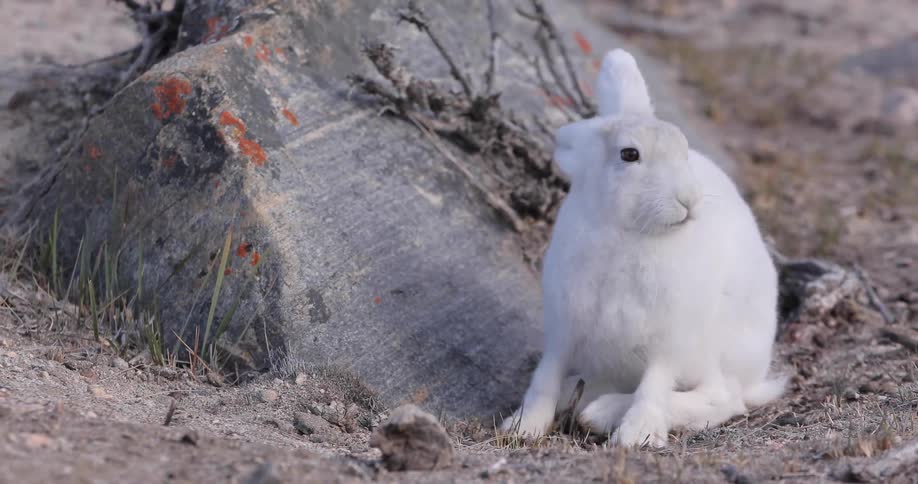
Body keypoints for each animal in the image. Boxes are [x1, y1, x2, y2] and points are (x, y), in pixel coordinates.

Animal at [500, 49, 785, 447]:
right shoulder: (565, 326)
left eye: (684, 150)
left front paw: (637, 435)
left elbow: (654, 385)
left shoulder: (669, 339)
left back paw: (600, 413)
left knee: (722, 398)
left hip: (714, 349)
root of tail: (755, 377)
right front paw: (523, 427)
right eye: (629, 154)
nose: (689, 199)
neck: (628, 233)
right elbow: (545, 374)